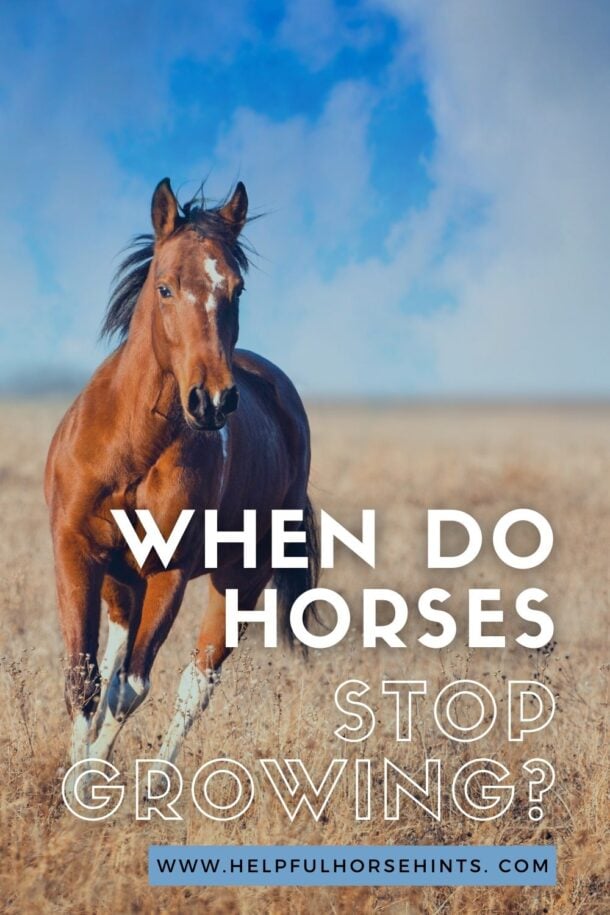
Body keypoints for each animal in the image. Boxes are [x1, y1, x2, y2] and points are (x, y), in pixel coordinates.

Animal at [44, 177, 319, 765]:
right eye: (165, 288)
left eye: (237, 289)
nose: (211, 401)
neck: (131, 446)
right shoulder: (76, 550)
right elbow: (85, 682)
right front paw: (77, 777)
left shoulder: (168, 571)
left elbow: (131, 690)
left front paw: (92, 780)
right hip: (122, 579)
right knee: (115, 659)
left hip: (239, 579)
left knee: (196, 684)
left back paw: (155, 779)